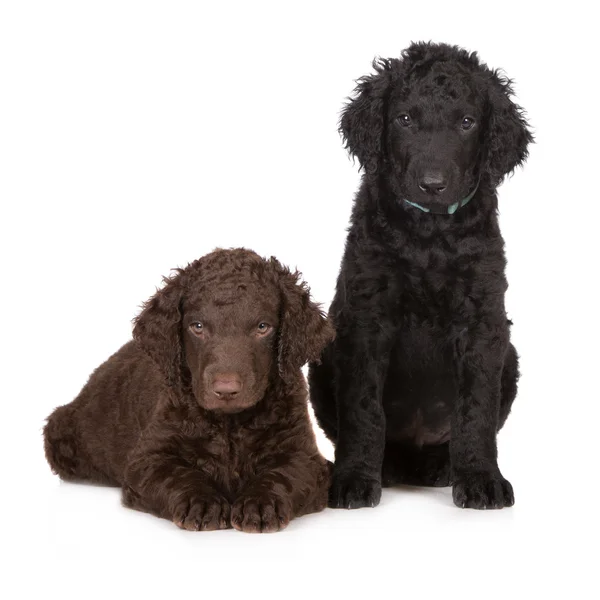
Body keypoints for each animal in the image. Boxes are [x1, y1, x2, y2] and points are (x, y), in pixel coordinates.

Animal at [43, 248, 332, 536]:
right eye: (198, 326)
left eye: (262, 327)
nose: (226, 390)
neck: (229, 425)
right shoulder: (147, 459)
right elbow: (177, 475)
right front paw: (201, 503)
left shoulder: (305, 457)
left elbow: (284, 474)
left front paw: (261, 503)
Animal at [312, 43, 532, 510]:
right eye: (404, 119)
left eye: (466, 122)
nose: (432, 184)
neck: (429, 235)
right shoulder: (366, 318)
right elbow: (362, 409)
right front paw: (354, 479)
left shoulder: (482, 320)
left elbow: (476, 410)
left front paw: (481, 478)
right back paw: (387, 467)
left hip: (510, 358)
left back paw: (441, 467)